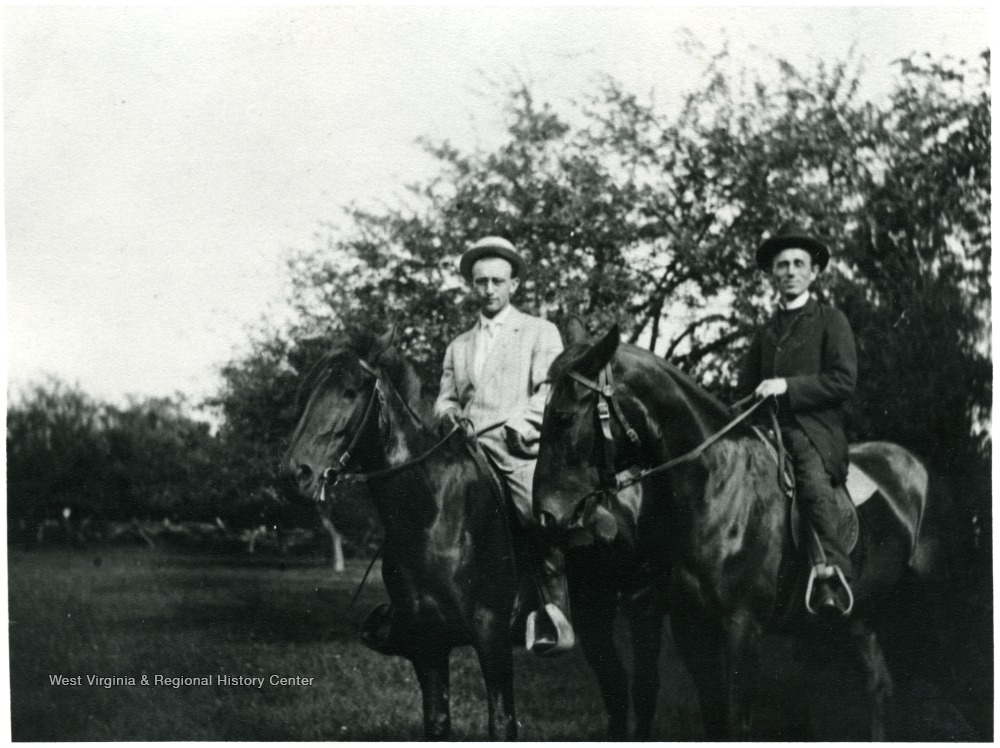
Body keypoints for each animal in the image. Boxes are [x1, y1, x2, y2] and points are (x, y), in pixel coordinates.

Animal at [285, 328, 519, 740]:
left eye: (350, 392)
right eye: (307, 392)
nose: (297, 474)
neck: (431, 514)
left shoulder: (493, 637)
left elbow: (502, 723)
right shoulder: (427, 645)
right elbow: (437, 722)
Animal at [533, 323, 930, 740]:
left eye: (562, 416)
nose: (545, 514)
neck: (715, 488)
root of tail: (912, 464)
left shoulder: (742, 630)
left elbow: (736, 723)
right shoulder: (691, 630)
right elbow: (714, 718)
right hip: (855, 618)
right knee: (871, 687)